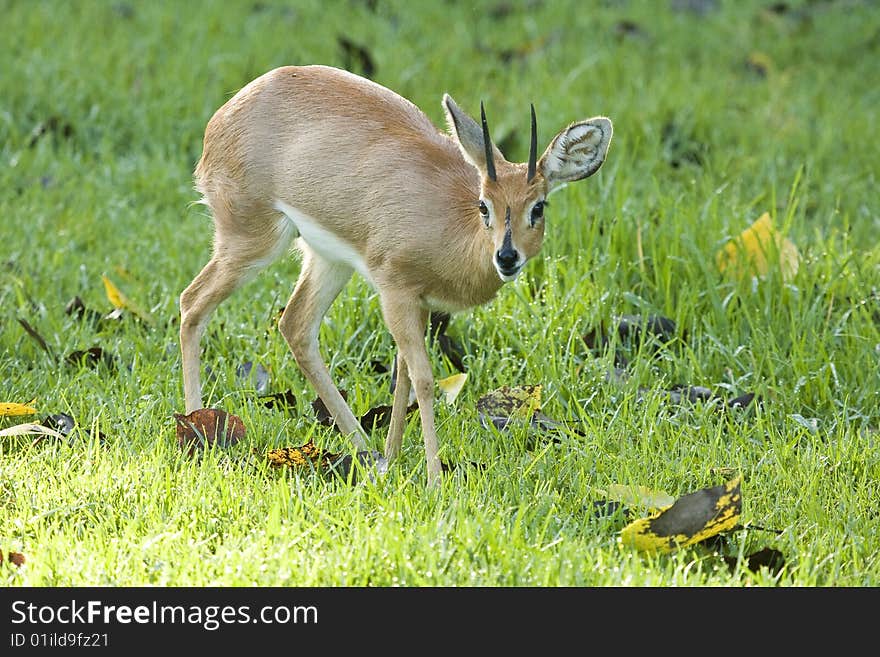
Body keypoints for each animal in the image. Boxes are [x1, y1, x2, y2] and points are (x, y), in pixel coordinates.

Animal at [180, 64, 612, 484]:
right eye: (483, 205)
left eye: (538, 206)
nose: (507, 257)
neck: (452, 227)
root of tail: (226, 114)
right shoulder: (395, 292)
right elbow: (423, 379)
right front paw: (435, 480)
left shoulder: (419, 303)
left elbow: (402, 376)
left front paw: (394, 455)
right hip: (251, 240)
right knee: (192, 303)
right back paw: (197, 430)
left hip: (327, 261)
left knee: (295, 326)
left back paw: (367, 453)